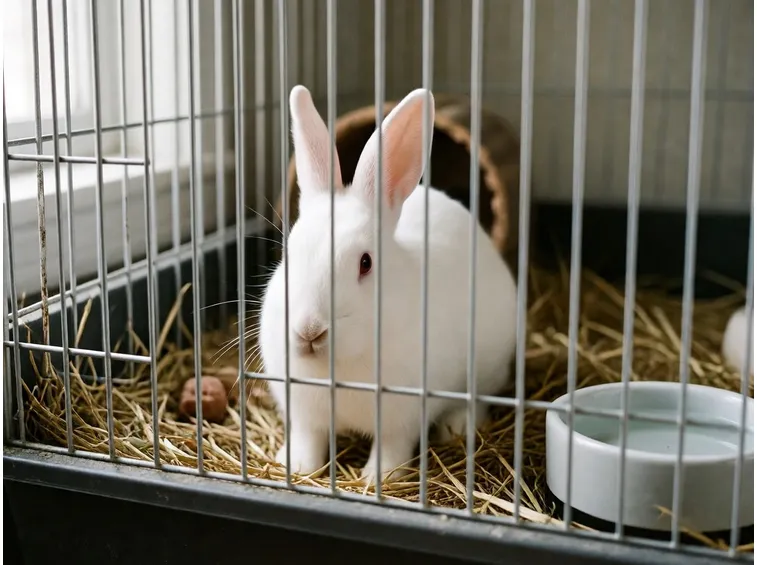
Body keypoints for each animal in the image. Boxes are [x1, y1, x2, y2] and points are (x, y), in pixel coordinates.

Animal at [258, 85, 518, 484]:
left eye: (365, 263)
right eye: (289, 252)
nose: (309, 331)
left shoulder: (402, 414)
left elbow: (392, 448)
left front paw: (378, 479)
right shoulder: (304, 413)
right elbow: (308, 440)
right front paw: (296, 466)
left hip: (488, 367)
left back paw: (456, 428)